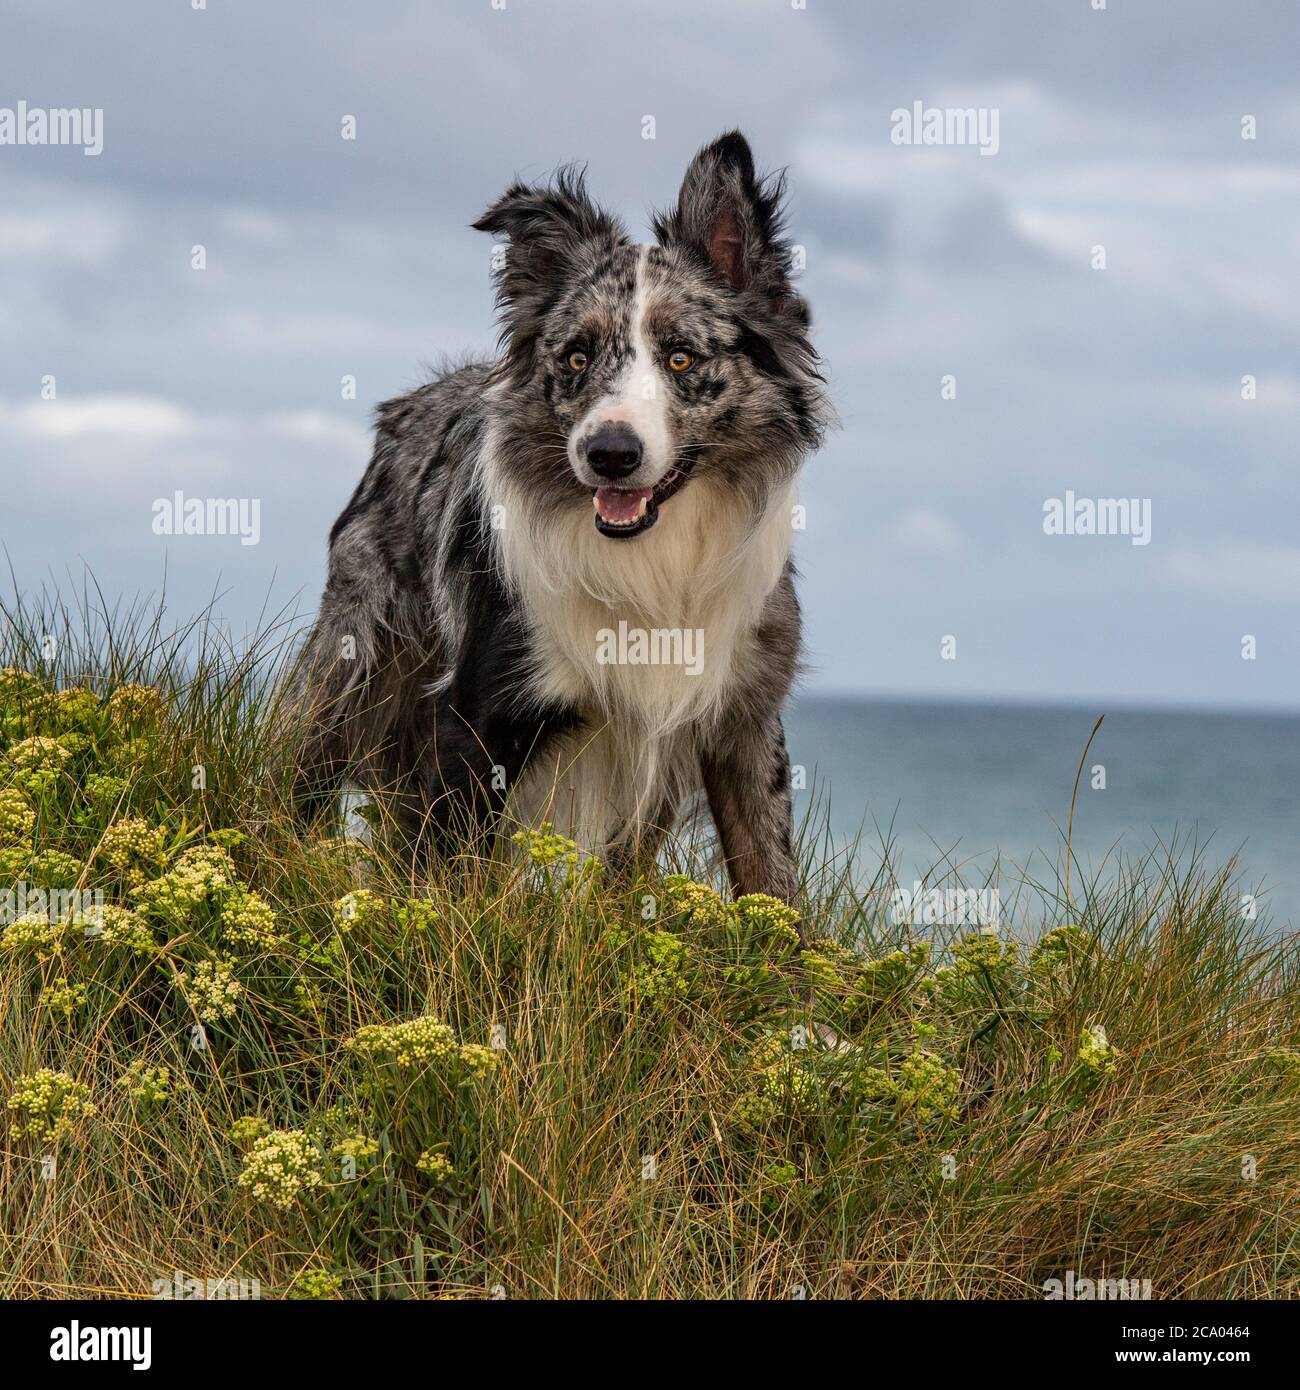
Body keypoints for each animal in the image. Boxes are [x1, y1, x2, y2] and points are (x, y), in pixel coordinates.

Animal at [289, 132, 828, 911]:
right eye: (576, 357)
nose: (609, 453)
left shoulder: (740, 716)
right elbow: (448, 878)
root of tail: (409, 404)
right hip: (355, 658)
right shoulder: (479, 711)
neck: (652, 558)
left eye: (681, 357)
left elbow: (770, 873)